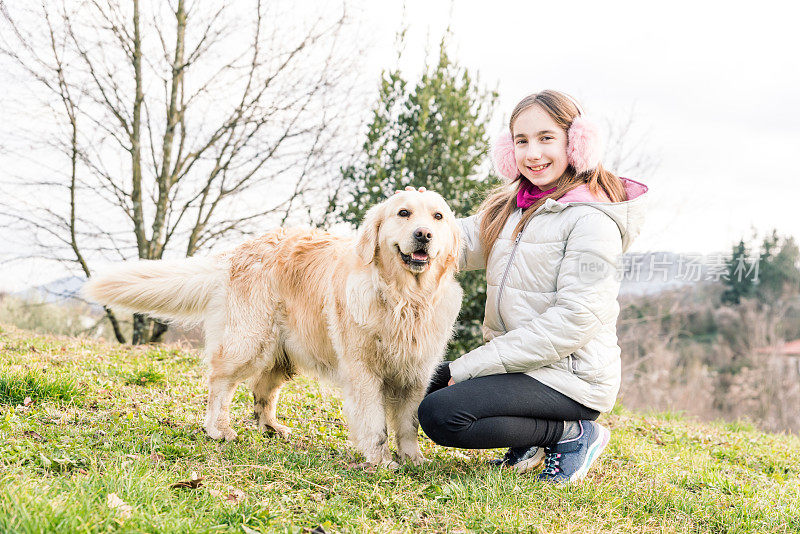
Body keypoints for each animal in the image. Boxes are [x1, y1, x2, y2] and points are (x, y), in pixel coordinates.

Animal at [83, 191, 460, 466]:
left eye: (438, 217)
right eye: (403, 213)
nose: (423, 235)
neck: (404, 299)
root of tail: (237, 252)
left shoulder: (415, 372)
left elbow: (409, 423)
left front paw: (413, 458)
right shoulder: (364, 372)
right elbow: (375, 423)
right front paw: (381, 461)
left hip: (283, 351)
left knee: (261, 389)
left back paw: (270, 426)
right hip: (249, 341)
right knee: (220, 380)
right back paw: (218, 428)